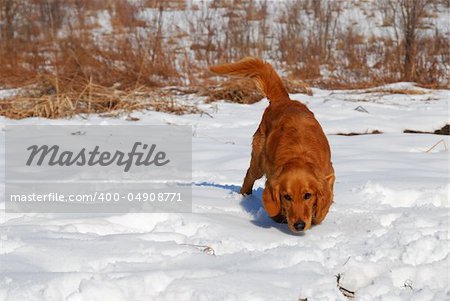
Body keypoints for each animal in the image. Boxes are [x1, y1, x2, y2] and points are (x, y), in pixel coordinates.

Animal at [211, 57, 334, 233]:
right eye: (287, 197)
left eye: (307, 195)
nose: (299, 225)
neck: (299, 155)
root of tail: (283, 100)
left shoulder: (328, 173)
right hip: (259, 161)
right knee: (249, 175)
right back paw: (245, 196)